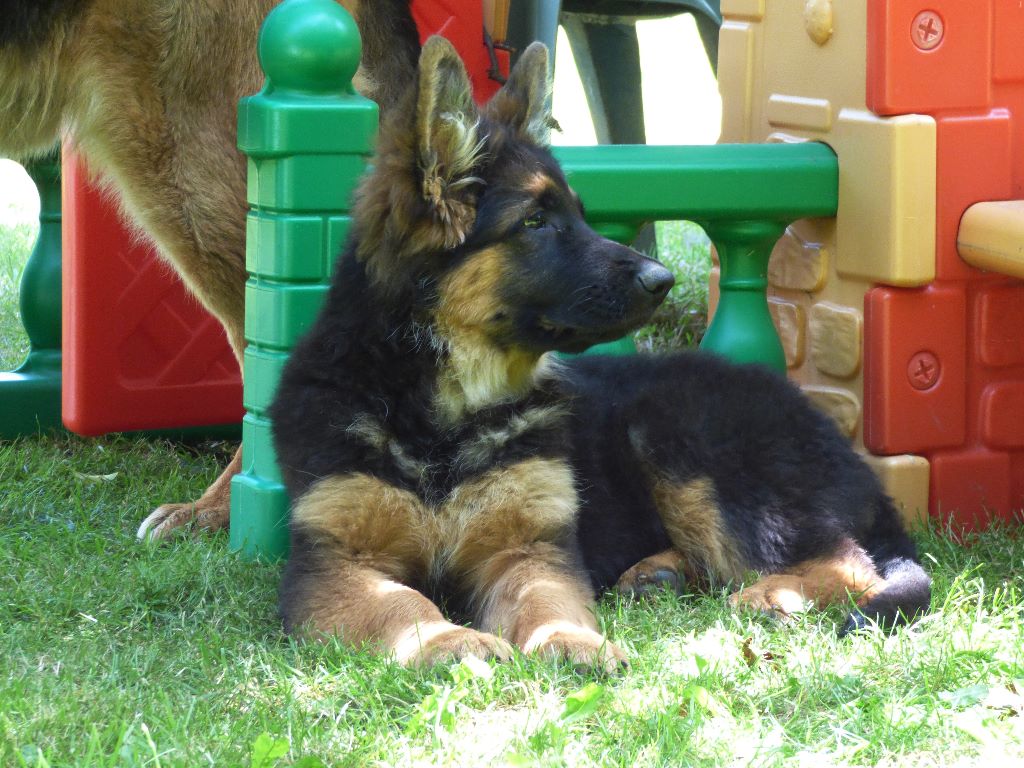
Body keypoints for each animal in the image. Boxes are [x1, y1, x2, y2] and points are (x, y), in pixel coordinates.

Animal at [270, 36, 929, 667]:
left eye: (582, 217)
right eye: (535, 222)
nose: (663, 280)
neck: (452, 409)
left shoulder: (530, 548)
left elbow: (546, 599)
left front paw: (572, 641)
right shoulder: (337, 563)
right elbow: (402, 603)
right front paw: (446, 641)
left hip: (680, 432)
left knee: (848, 561)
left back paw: (770, 594)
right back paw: (662, 574)